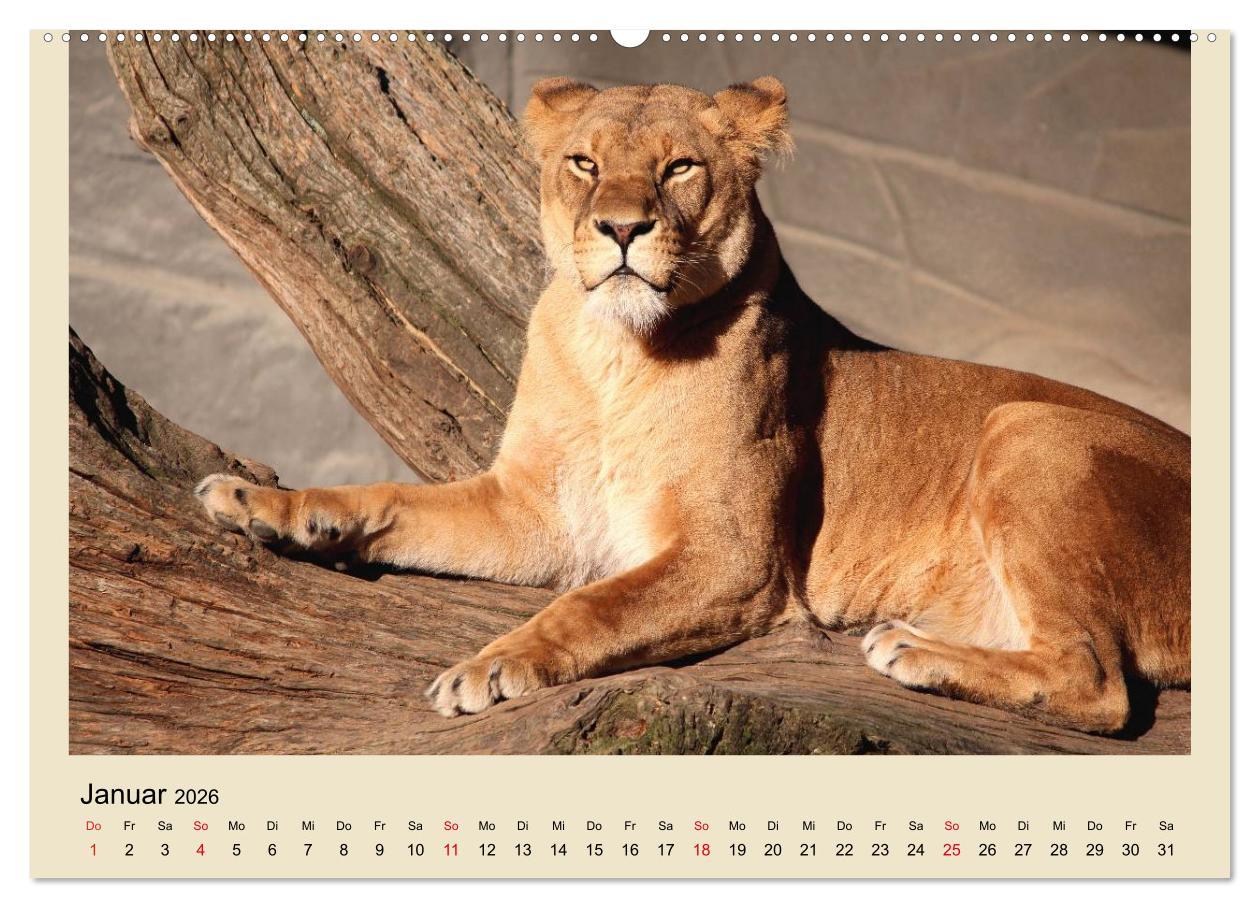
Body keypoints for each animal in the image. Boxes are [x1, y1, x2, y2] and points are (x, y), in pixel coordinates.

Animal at [196, 76, 1189, 734]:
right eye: (584, 163)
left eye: (678, 169)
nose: (621, 227)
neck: (614, 354)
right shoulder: (533, 513)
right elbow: (389, 498)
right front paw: (266, 504)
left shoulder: (734, 558)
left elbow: (590, 609)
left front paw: (493, 665)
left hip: (1029, 426)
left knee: (1099, 683)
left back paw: (915, 653)